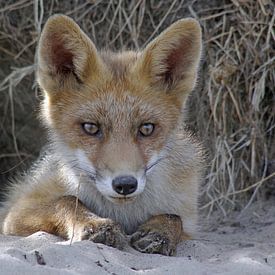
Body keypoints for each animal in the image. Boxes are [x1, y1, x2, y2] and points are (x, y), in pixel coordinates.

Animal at [0, 14, 204, 256]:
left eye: (146, 128)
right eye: (91, 127)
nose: (125, 184)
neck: (123, 213)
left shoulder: (188, 218)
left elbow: (174, 217)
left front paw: (159, 233)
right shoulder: (16, 212)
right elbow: (67, 200)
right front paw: (95, 224)